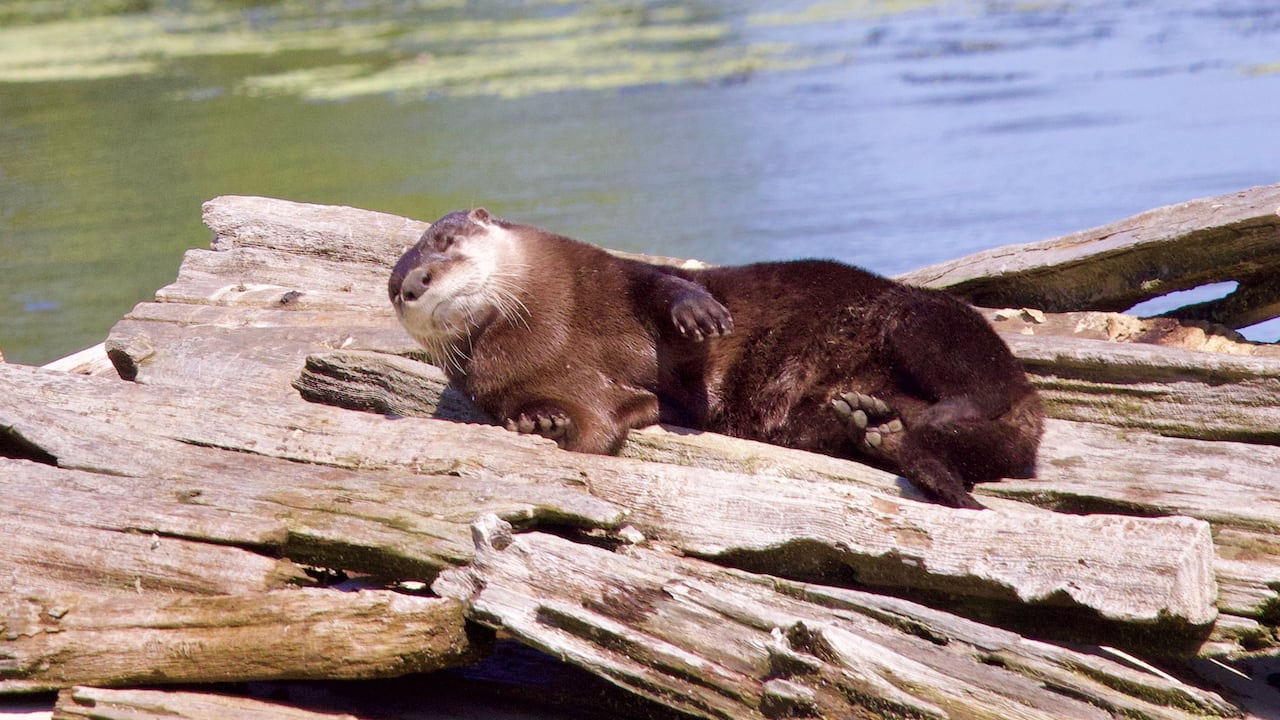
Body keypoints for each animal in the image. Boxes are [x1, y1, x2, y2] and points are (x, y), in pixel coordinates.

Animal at [389, 209, 1043, 509]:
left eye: (445, 242)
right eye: (395, 285)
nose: (414, 284)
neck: (553, 329)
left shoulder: (612, 277)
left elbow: (665, 287)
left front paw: (699, 314)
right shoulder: (533, 386)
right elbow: (593, 419)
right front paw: (541, 421)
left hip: (921, 320)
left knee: (980, 387)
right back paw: (873, 423)